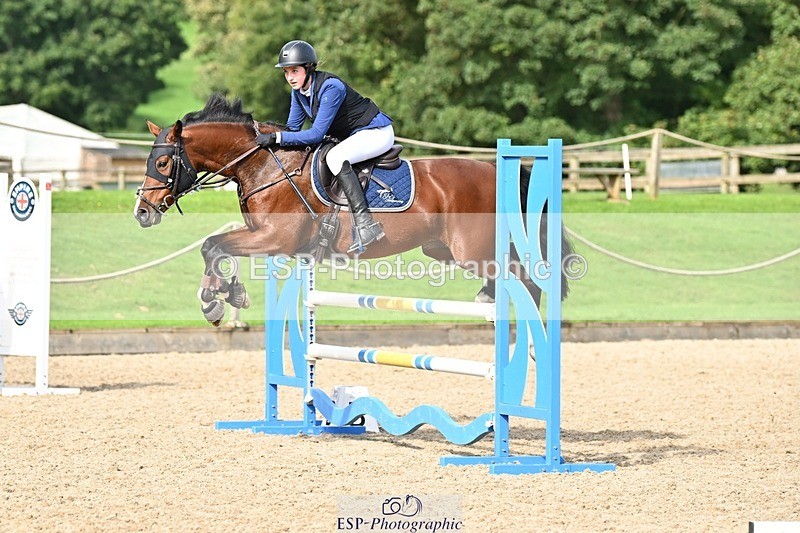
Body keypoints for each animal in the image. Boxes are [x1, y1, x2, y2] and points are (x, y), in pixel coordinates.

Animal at [134, 94, 572, 326]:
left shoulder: (275, 238)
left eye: (162, 163)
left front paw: (213, 300)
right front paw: (228, 294)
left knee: (527, 278)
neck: (261, 163)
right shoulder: (268, 240)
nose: (142, 212)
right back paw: (489, 300)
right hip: (441, 249)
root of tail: (496, 170)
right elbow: (217, 247)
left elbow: (213, 244)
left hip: (472, 250)